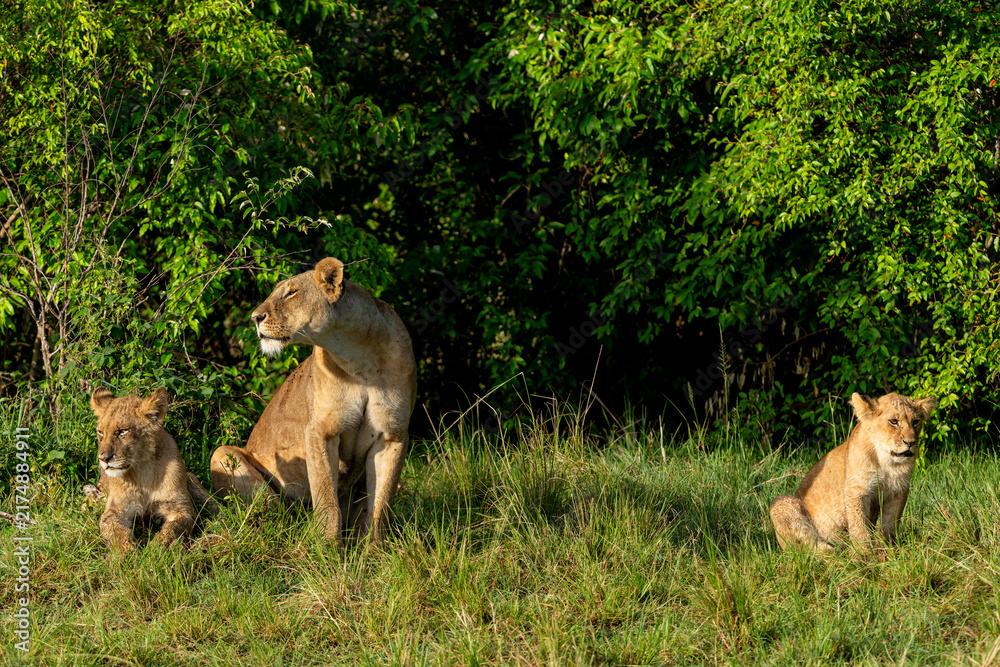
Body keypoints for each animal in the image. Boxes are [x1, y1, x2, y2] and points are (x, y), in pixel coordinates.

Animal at [90, 387, 215, 550]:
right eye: (100, 432)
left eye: (123, 431)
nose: (104, 459)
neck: (142, 471)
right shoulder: (116, 509)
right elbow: (118, 533)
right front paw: (128, 554)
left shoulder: (180, 508)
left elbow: (173, 530)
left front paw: (157, 549)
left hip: (193, 480)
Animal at [209, 257, 417, 545]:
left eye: (291, 293)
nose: (254, 318)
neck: (359, 357)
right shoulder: (320, 431)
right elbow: (326, 497)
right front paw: (327, 547)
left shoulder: (392, 435)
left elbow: (380, 504)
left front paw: (374, 550)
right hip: (224, 457)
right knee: (274, 513)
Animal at [769, 392, 937, 551]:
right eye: (894, 421)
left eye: (915, 422)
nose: (911, 443)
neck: (886, 462)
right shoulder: (857, 490)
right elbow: (859, 525)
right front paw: (865, 554)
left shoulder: (898, 490)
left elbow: (890, 522)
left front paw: (890, 547)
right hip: (781, 503)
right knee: (803, 547)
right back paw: (833, 551)